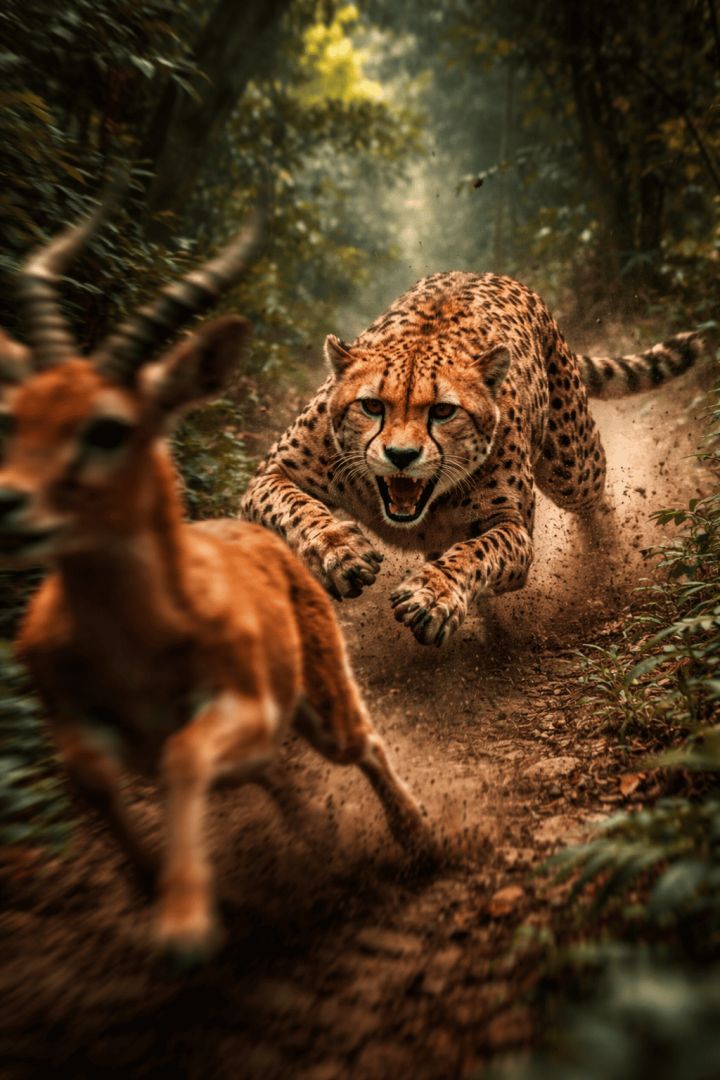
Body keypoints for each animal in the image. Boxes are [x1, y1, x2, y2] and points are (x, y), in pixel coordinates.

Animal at [0, 197, 436, 958]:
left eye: (108, 428)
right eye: (14, 415)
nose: (10, 502)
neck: (134, 650)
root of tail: (259, 536)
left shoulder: (247, 708)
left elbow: (180, 754)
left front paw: (182, 920)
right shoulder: (72, 718)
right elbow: (94, 777)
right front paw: (157, 889)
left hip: (324, 705)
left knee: (364, 743)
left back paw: (418, 842)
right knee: (274, 778)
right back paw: (314, 845)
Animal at [241, 271, 701, 646]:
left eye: (444, 411)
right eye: (371, 406)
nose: (401, 455)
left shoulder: (513, 528)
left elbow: (479, 551)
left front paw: (433, 595)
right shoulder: (271, 474)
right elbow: (296, 507)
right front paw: (341, 551)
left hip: (571, 465)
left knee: (593, 501)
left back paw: (605, 563)